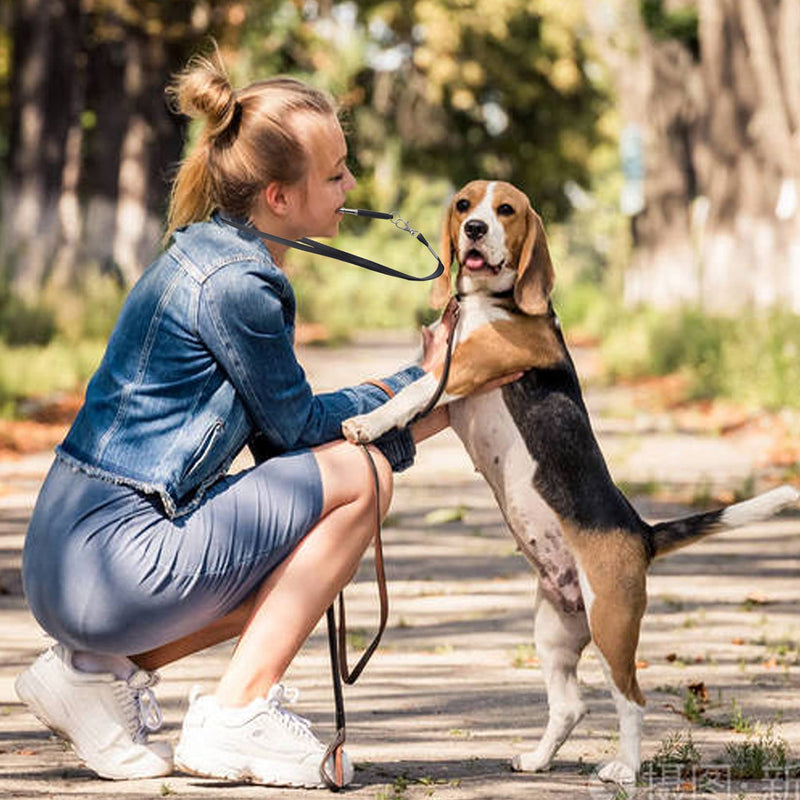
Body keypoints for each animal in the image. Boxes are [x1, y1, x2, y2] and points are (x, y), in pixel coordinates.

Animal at [340, 178, 796, 784]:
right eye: (464, 205)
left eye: (505, 209)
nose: (475, 230)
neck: (490, 301)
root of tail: (642, 531)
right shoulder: (446, 378)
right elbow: (409, 388)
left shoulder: (465, 370)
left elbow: (411, 394)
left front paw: (366, 424)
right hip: (554, 630)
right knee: (571, 705)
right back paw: (537, 759)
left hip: (611, 623)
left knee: (632, 700)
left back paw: (624, 769)